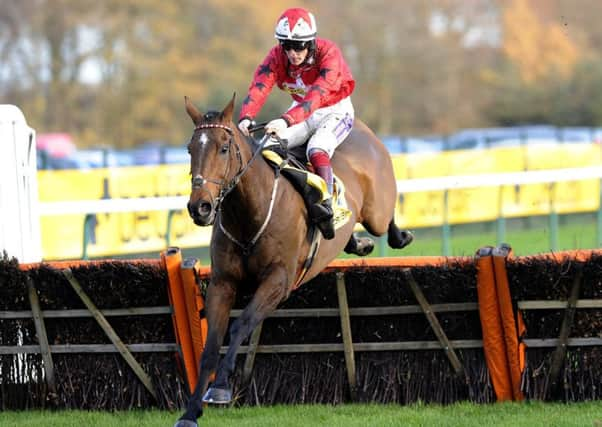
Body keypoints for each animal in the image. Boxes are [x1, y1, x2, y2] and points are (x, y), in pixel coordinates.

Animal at [171, 95, 410, 426]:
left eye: (223, 147)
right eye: (190, 148)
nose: (200, 207)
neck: (250, 214)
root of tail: (362, 128)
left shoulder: (279, 281)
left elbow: (241, 325)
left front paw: (220, 389)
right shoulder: (222, 282)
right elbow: (210, 346)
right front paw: (191, 411)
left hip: (376, 209)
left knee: (384, 219)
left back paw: (399, 236)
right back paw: (355, 241)